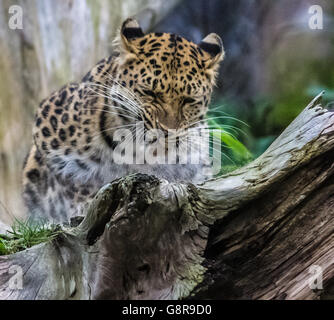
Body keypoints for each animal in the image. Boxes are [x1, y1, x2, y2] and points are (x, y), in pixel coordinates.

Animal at [21, 17, 224, 222]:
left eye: (189, 100)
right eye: (149, 93)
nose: (168, 131)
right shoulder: (47, 124)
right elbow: (73, 177)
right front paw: (86, 202)